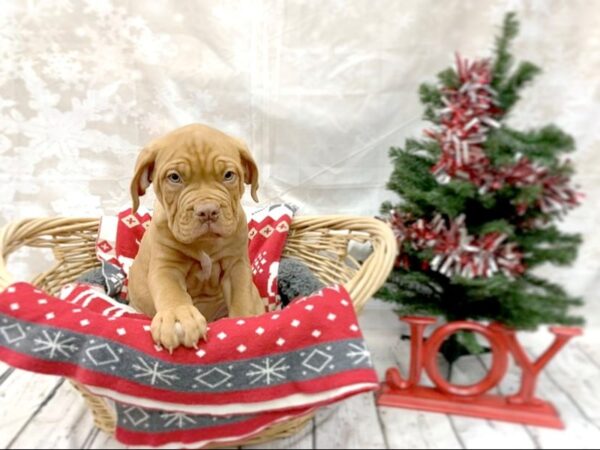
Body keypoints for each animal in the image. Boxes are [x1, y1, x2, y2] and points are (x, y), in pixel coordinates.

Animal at [127, 123, 264, 352]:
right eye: (174, 177)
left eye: (228, 175)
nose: (208, 211)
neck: (205, 243)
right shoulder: (167, 266)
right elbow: (172, 291)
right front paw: (178, 316)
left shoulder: (236, 265)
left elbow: (242, 296)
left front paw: (244, 321)